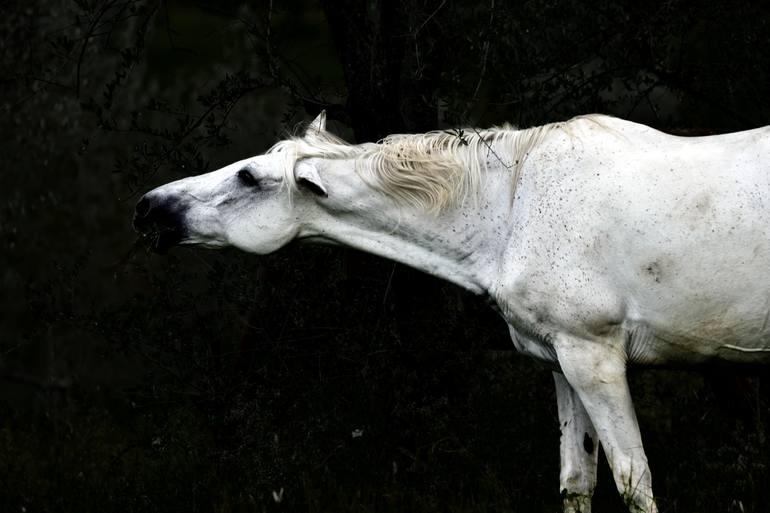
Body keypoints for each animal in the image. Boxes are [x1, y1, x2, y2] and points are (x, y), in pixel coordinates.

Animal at [132, 112, 768, 512]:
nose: (148, 207)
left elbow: (634, 483)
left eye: (247, 176)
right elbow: (576, 484)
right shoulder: (563, 364)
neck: (512, 205)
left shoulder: (596, 359)